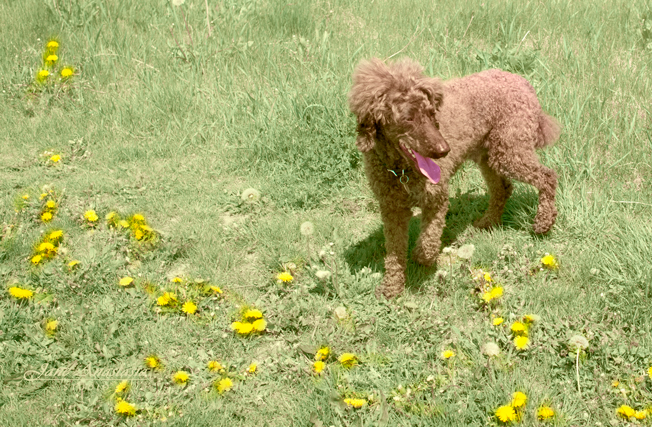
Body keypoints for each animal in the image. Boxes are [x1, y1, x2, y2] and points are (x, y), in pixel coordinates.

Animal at [346, 58, 560, 300]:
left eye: (431, 114)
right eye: (408, 118)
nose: (444, 150)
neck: (400, 170)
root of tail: (522, 81)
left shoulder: (437, 198)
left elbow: (427, 242)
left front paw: (423, 258)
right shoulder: (392, 209)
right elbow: (394, 252)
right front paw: (391, 288)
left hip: (510, 149)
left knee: (547, 176)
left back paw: (543, 222)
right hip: (490, 155)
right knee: (502, 188)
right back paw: (487, 222)